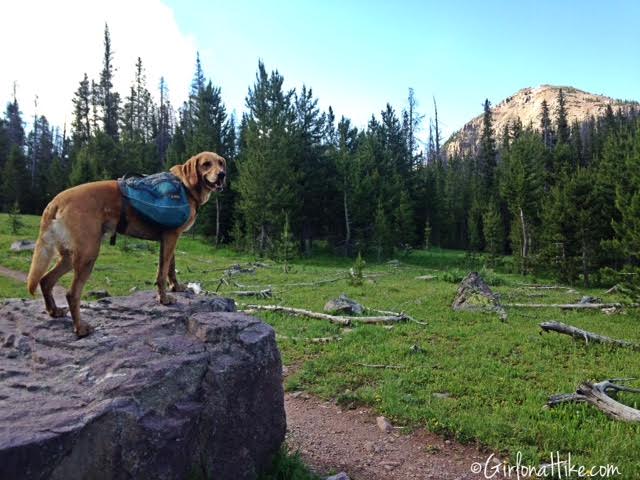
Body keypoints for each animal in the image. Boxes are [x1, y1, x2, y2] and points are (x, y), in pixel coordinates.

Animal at [27, 152, 228, 336]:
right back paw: (81, 328)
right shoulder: (171, 237)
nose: (222, 175)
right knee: (71, 294)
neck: (186, 187)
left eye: (220, 163)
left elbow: (171, 268)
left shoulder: (171, 238)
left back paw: (54, 311)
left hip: (70, 255)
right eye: (206, 164)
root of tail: (55, 201)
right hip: (88, 254)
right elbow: (162, 273)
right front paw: (164, 299)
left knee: (45, 280)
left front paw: (176, 288)